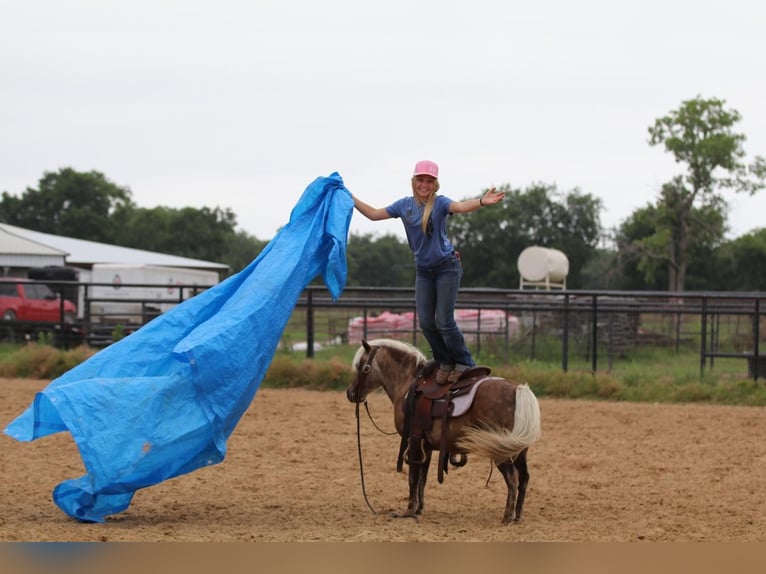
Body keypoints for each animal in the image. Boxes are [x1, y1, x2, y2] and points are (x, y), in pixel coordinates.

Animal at [344, 340, 544, 528]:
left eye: (363, 366)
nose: (350, 393)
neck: (408, 385)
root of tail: (519, 390)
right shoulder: (426, 446)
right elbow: (422, 478)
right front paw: (419, 509)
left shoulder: (413, 441)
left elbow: (412, 477)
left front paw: (409, 510)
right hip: (519, 450)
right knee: (524, 478)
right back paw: (517, 516)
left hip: (501, 451)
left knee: (512, 479)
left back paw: (507, 517)